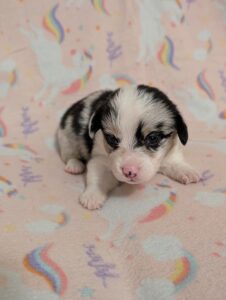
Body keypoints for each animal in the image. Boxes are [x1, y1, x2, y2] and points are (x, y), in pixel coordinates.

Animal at [57, 85, 200, 210]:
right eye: (112, 139)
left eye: (153, 138)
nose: (129, 171)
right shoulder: (100, 159)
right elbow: (97, 176)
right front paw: (92, 195)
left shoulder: (169, 152)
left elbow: (174, 162)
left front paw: (186, 170)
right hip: (66, 139)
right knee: (70, 156)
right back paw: (75, 165)